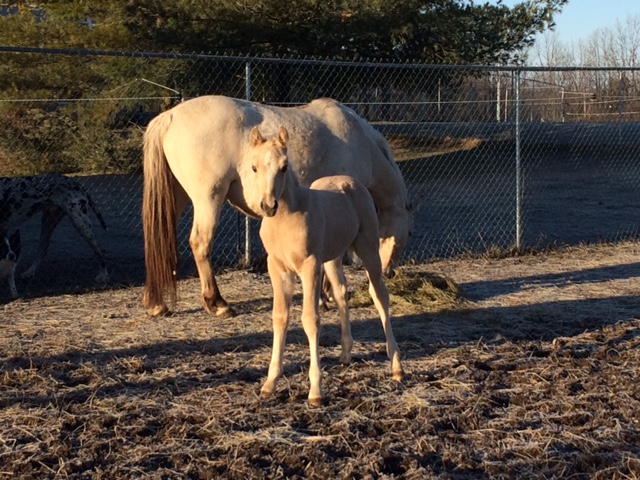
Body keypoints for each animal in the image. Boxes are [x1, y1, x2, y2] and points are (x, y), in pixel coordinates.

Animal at [142, 95, 412, 316]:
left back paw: (156, 304)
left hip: (176, 198)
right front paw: (325, 297)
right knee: (200, 243)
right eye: (406, 235)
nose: (389, 272)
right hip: (208, 198)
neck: (360, 144)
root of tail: (170, 116)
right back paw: (217, 304)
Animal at [251, 126, 404, 404]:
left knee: (379, 296)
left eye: (284, 166)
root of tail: (350, 181)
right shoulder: (277, 269)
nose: (268, 206)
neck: (286, 220)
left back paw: (396, 366)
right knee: (342, 292)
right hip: (333, 257)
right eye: (254, 167)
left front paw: (315, 391)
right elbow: (279, 317)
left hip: (368, 249)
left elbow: (310, 319)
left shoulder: (310, 266)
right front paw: (269, 383)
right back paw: (345, 354)